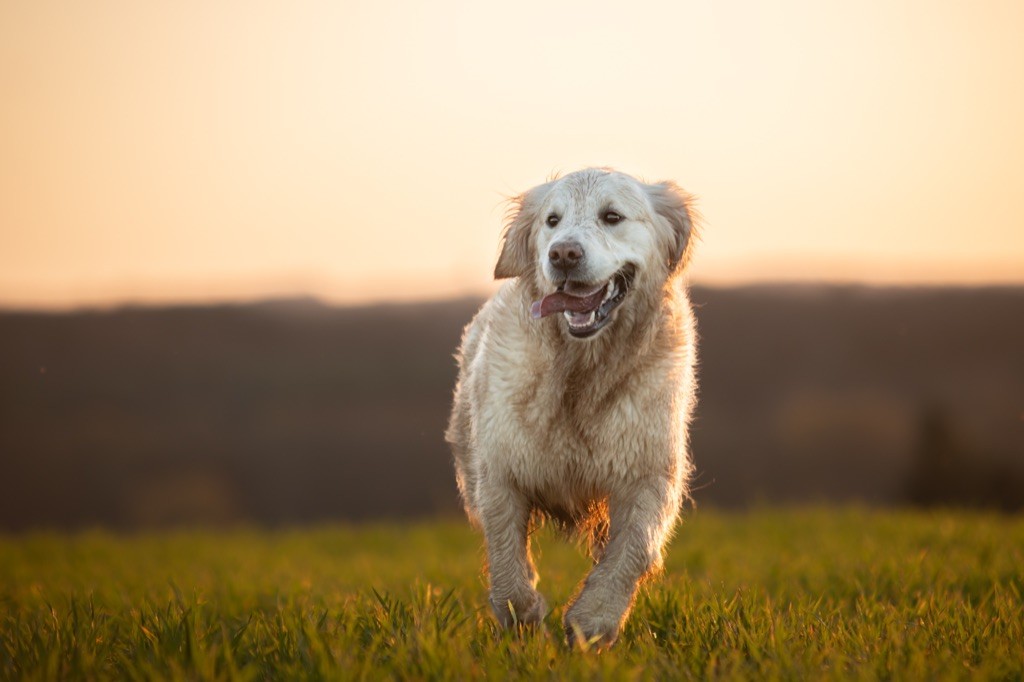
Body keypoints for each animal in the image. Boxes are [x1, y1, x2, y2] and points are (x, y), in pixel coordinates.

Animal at [444, 166, 700, 647]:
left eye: (612, 216)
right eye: (552, 220)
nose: (563, 254)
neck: (580, 371)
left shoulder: (650, 472)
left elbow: (633, 548)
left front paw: (593, 620)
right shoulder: (499, 469)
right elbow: (504, 548)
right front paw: (522, 615)